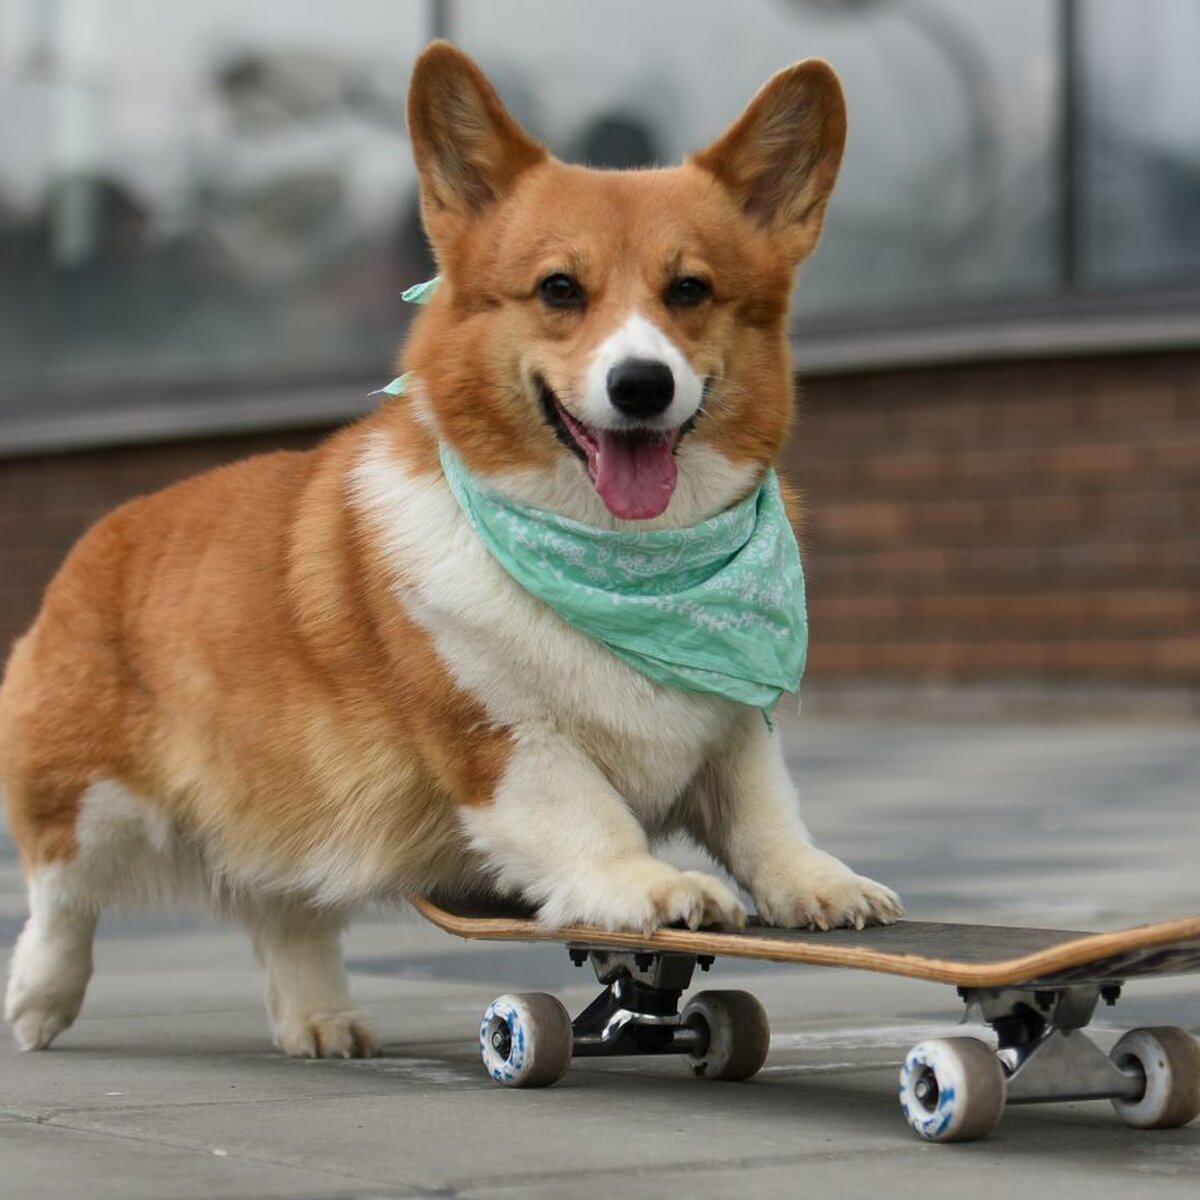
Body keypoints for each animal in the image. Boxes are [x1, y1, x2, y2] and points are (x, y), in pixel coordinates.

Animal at [0, 42, 902, 1056]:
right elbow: (588, 814)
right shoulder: (501, 741)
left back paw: (320, 1020)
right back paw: (39, 1001)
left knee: (285, 910)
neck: (627, 565)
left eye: (690, 290)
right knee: (60, 895)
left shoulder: (733, 730)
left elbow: (764, 814)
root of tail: (98, 538)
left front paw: (820, 882)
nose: (640, 385)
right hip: (91, 796)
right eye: (559, 289)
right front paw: (650, 885)